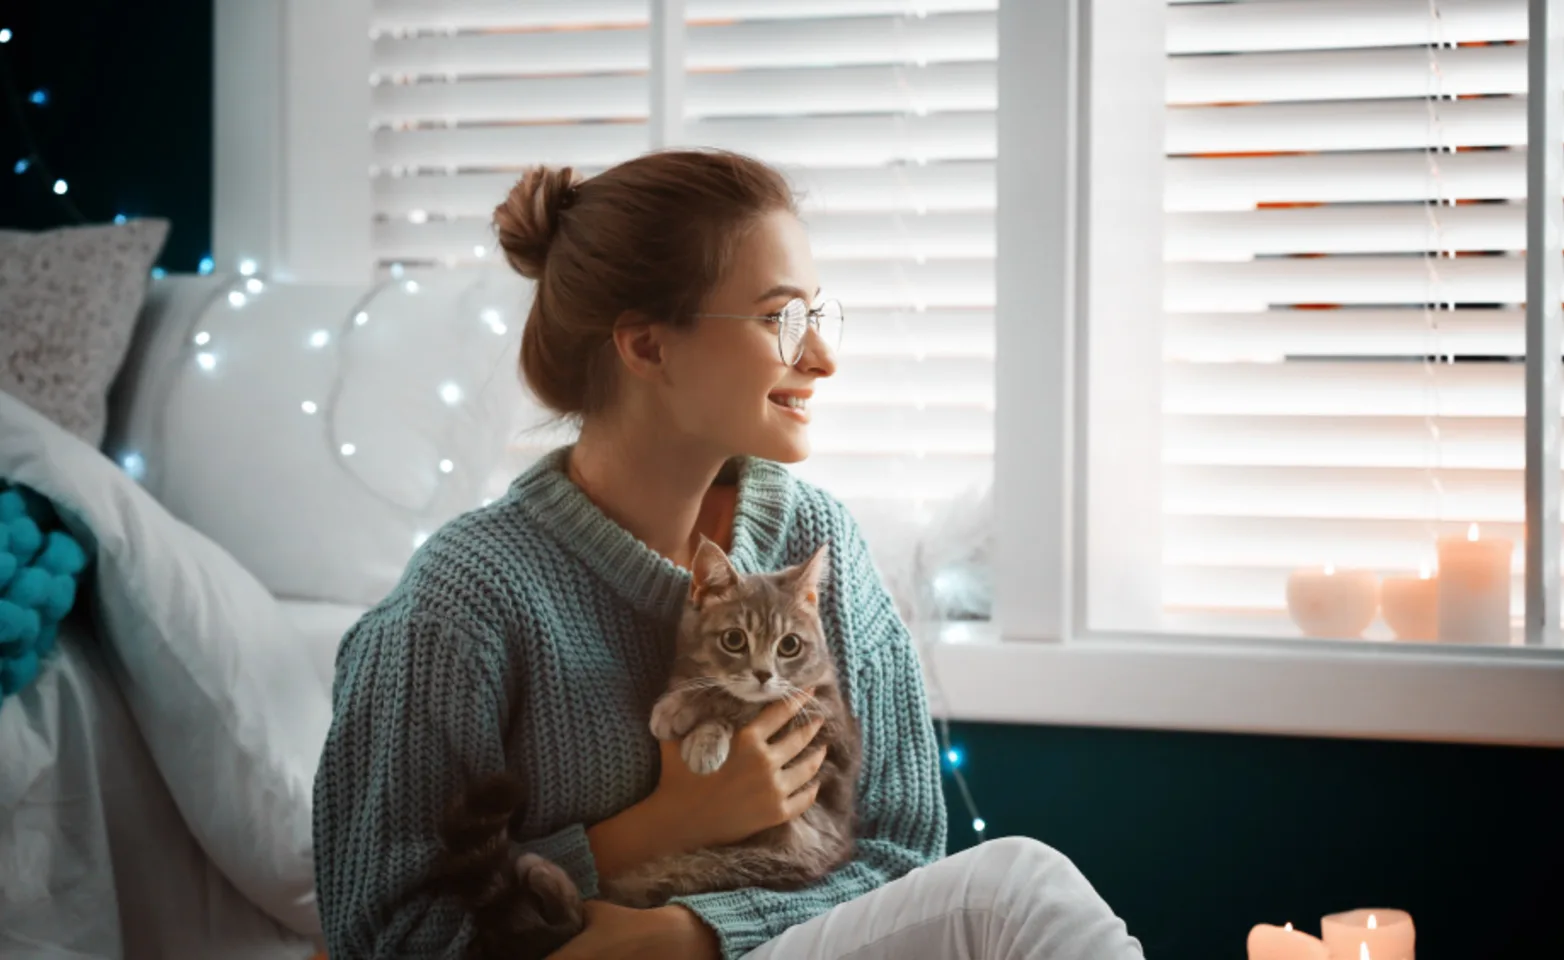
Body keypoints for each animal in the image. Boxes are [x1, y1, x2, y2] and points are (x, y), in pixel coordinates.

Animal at [434, 534, 863, 960]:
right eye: (734, 640)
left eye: (790, 645)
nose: (762, 674)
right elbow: (718, 691)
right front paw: (685, 706)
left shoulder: (826, 721)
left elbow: (740, 702)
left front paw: (695, 722)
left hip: (729, 864)